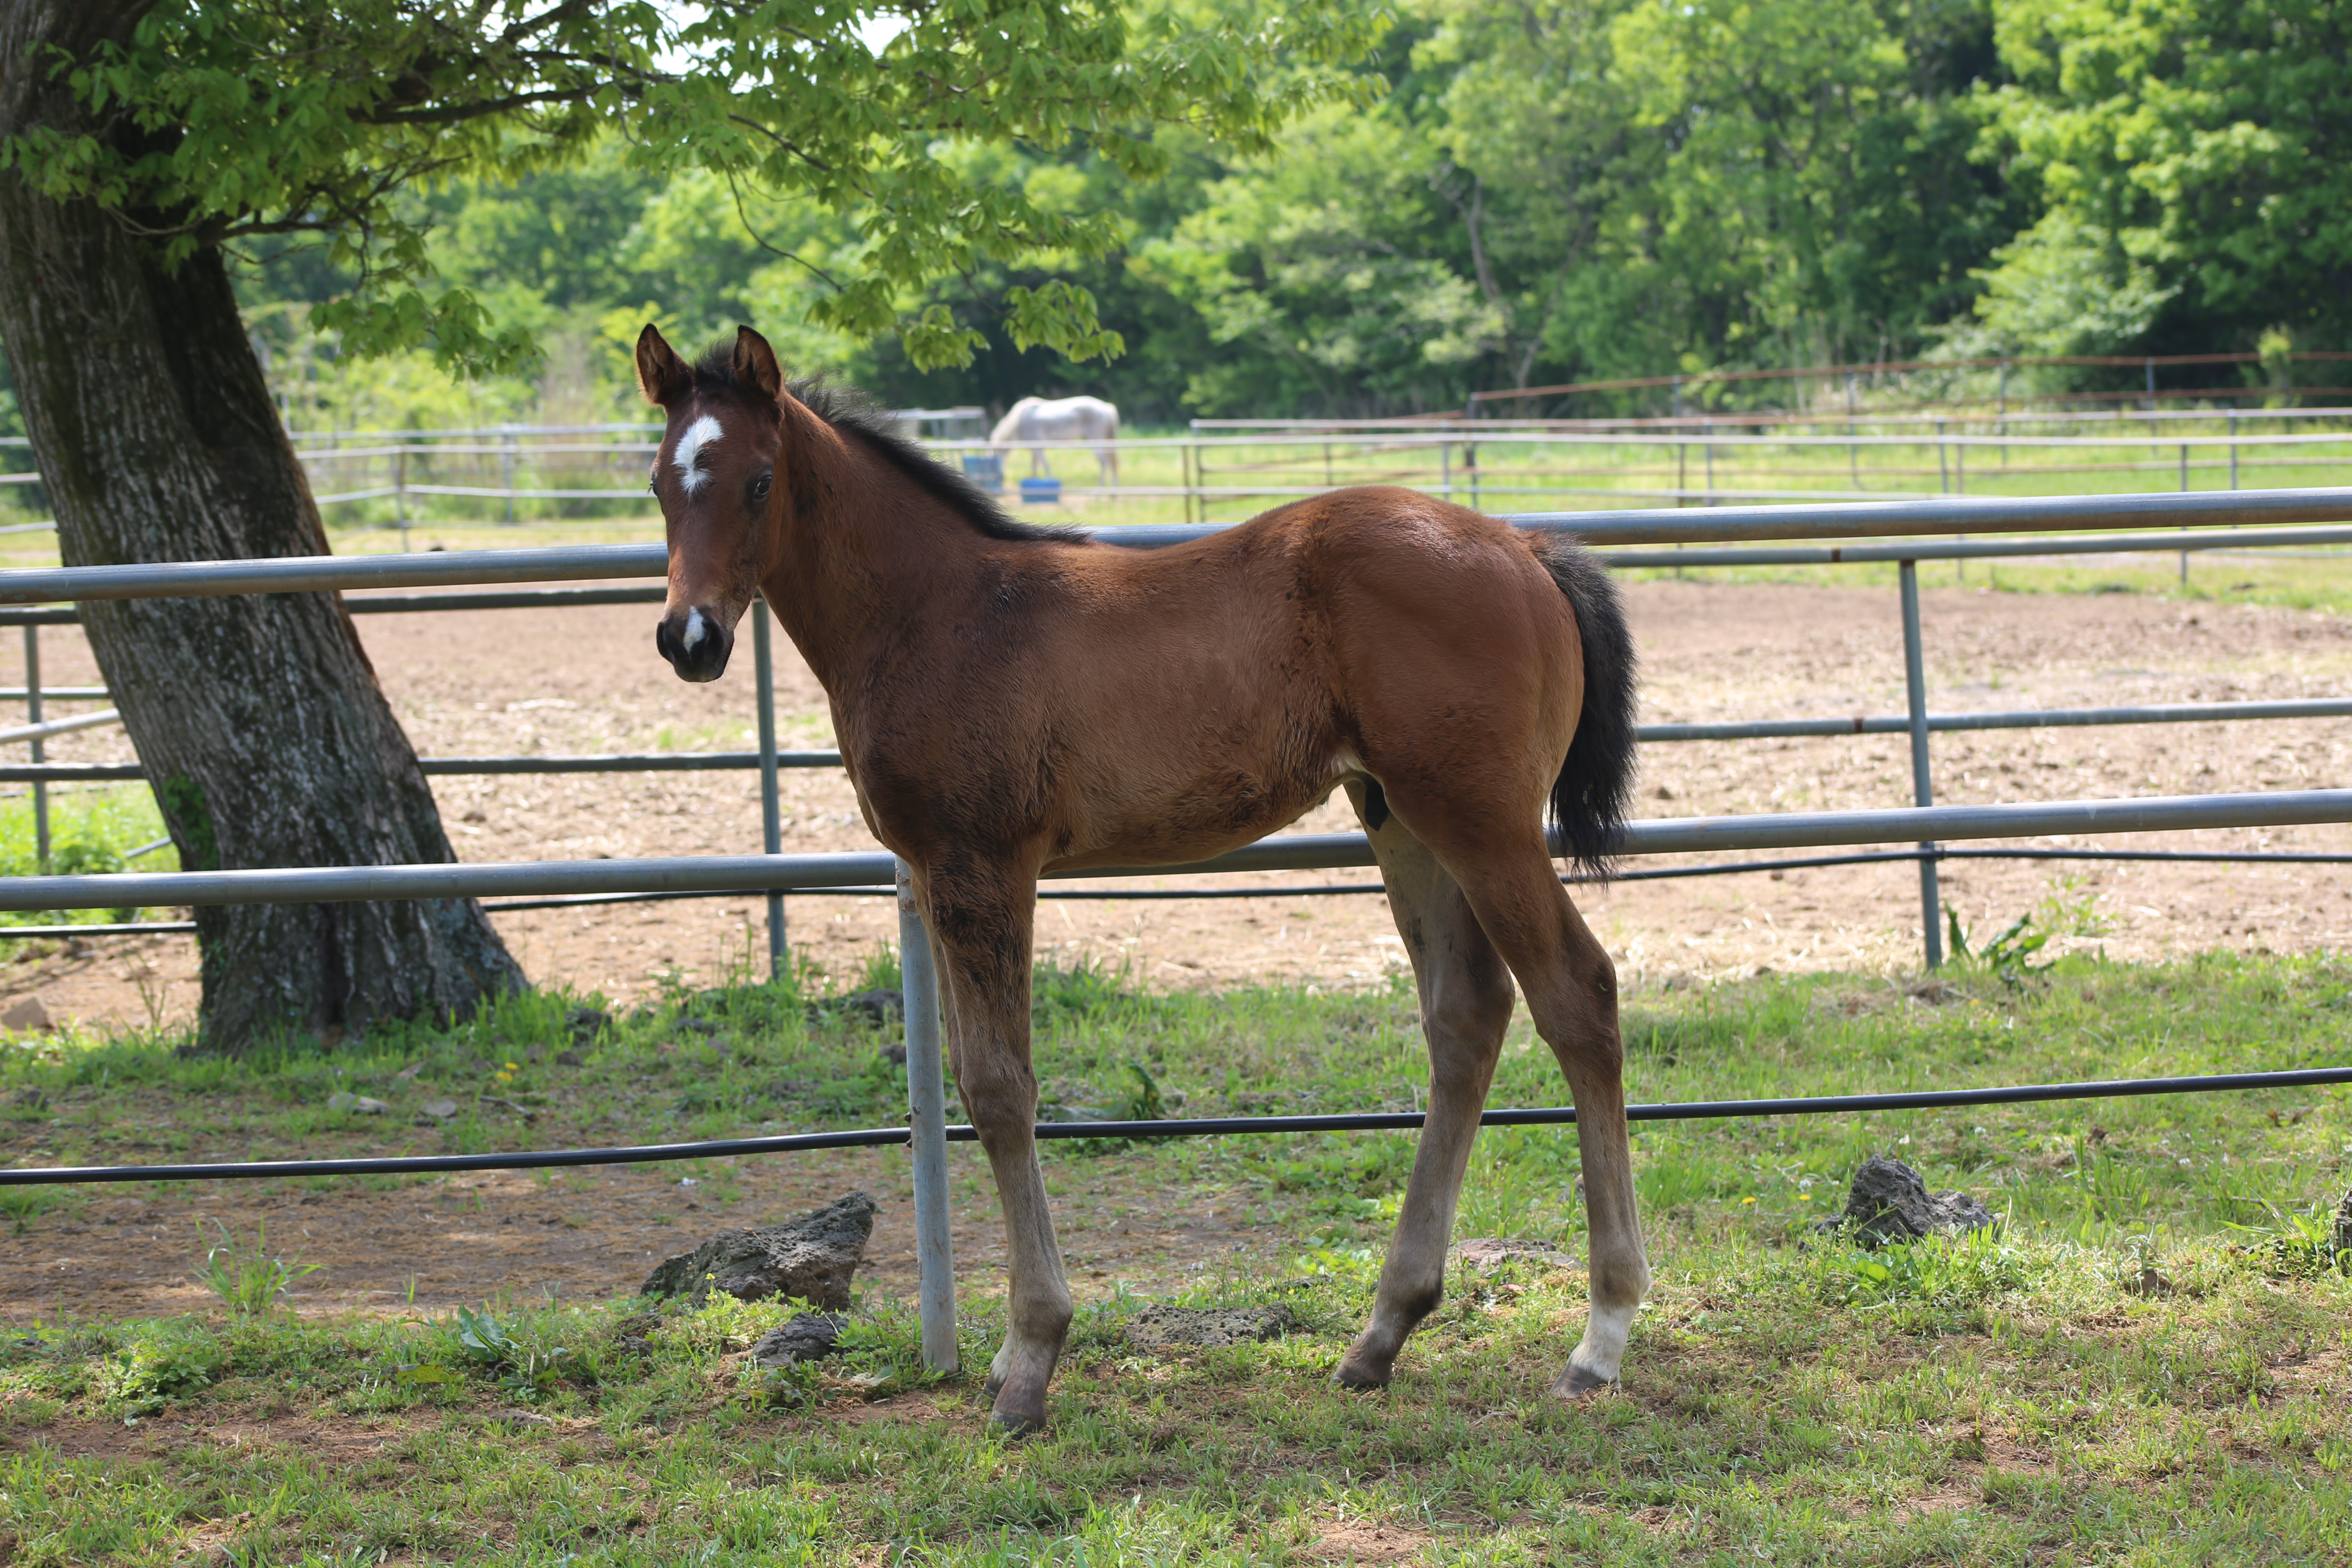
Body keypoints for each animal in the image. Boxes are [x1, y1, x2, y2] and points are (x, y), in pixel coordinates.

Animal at [983, 395, 1110, 486]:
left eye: (991, 466)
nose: (998, 479)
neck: (1018, 422)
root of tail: (1105, 407)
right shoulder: (1033, 451)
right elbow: (1034, 470)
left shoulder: (1039, 449)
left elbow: (1045, 467)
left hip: (1095, 442)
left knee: (1104, 463)